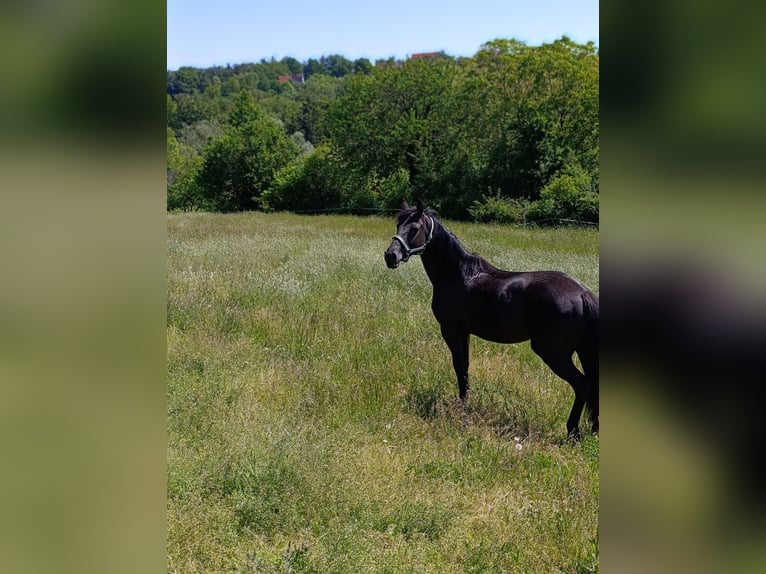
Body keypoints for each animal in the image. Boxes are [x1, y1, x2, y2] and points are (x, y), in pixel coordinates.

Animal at [384, 200, 599, 440]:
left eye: (415, 228)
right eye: (398, 225)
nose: (390, 256)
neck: (457, 274)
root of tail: (582, 292)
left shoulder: (450, 330)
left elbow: (459, 366)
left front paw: (461, 406)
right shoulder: (464, 332)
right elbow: (465, 366)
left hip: (553, 352)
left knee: (582, 385)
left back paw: (572, 432)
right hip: (583, 350)